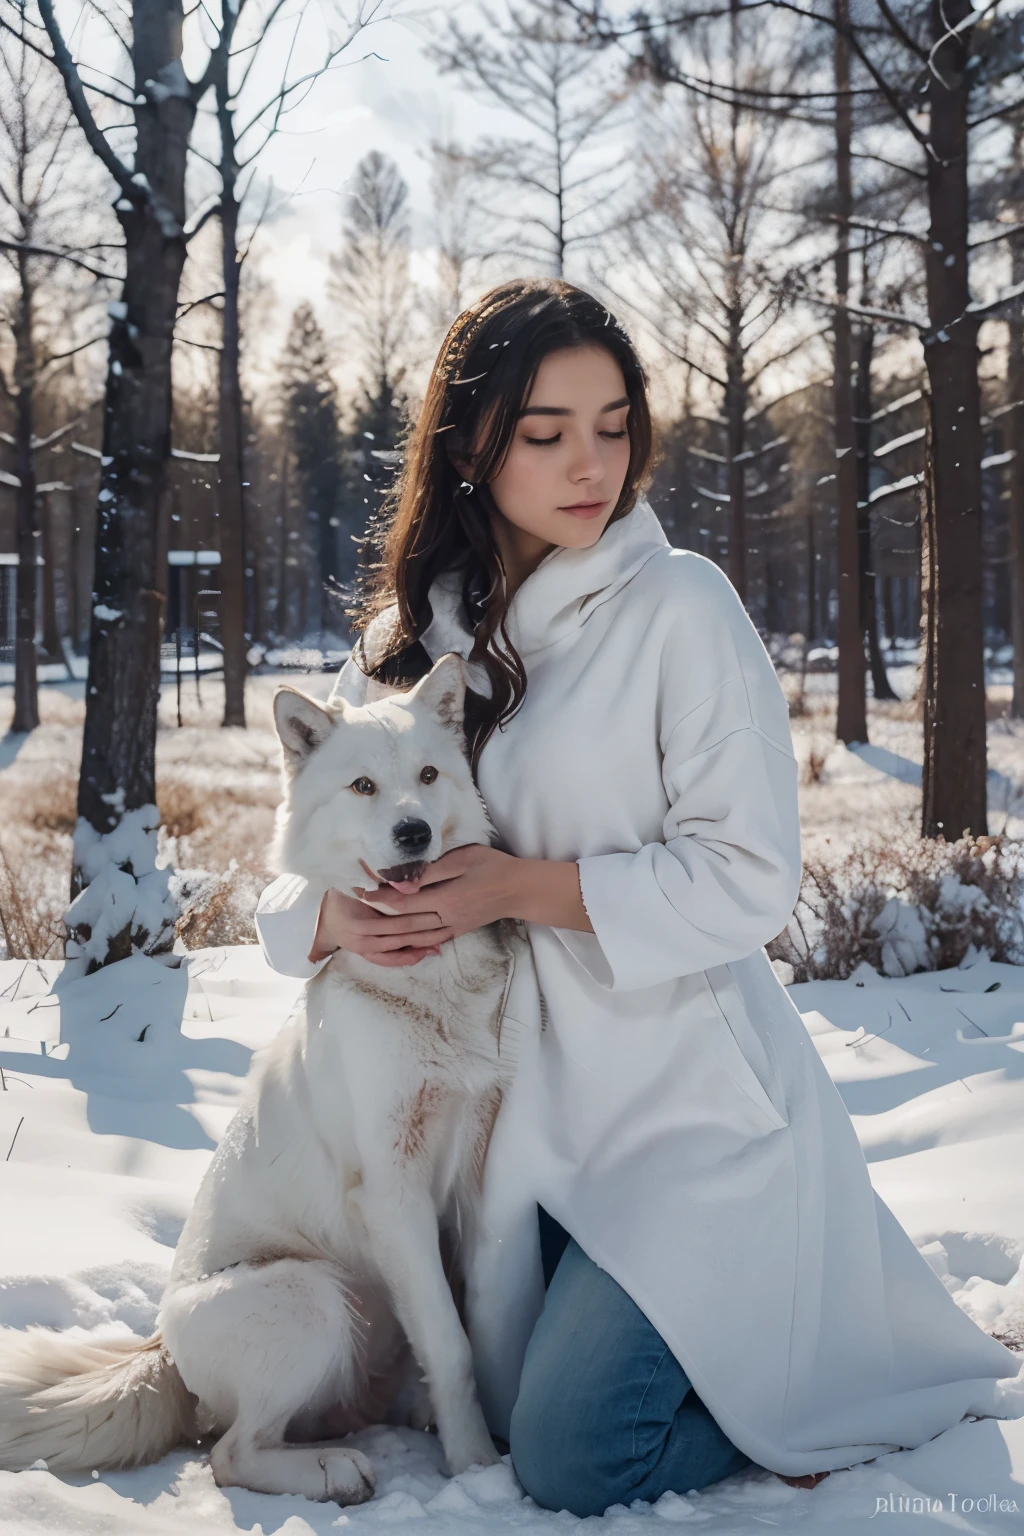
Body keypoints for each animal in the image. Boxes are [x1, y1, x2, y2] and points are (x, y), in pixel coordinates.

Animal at [0, 654, 534, 1505]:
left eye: (428, 775)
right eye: (363, 787)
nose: (413, 831)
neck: (428, 984)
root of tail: (161, 1348)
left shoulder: (475, 1166)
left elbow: (472, 1319)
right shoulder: (393, 1191)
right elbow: (451, 1346)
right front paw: (478, 1467)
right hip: (311, 1294)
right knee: (231, 1453)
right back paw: (334, 1470)